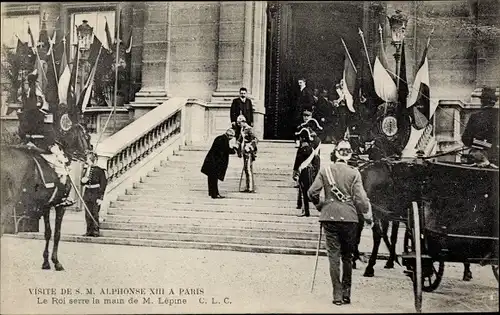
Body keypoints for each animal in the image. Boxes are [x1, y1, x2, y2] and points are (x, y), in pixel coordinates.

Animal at [0, 123, 91, 272]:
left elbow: (48, 233)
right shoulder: (60, 206)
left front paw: (46, 262)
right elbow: (57, 233)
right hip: (8, 205)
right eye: (87, 136)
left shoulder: (46, 206)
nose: (91, 155)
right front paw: (57, 262)